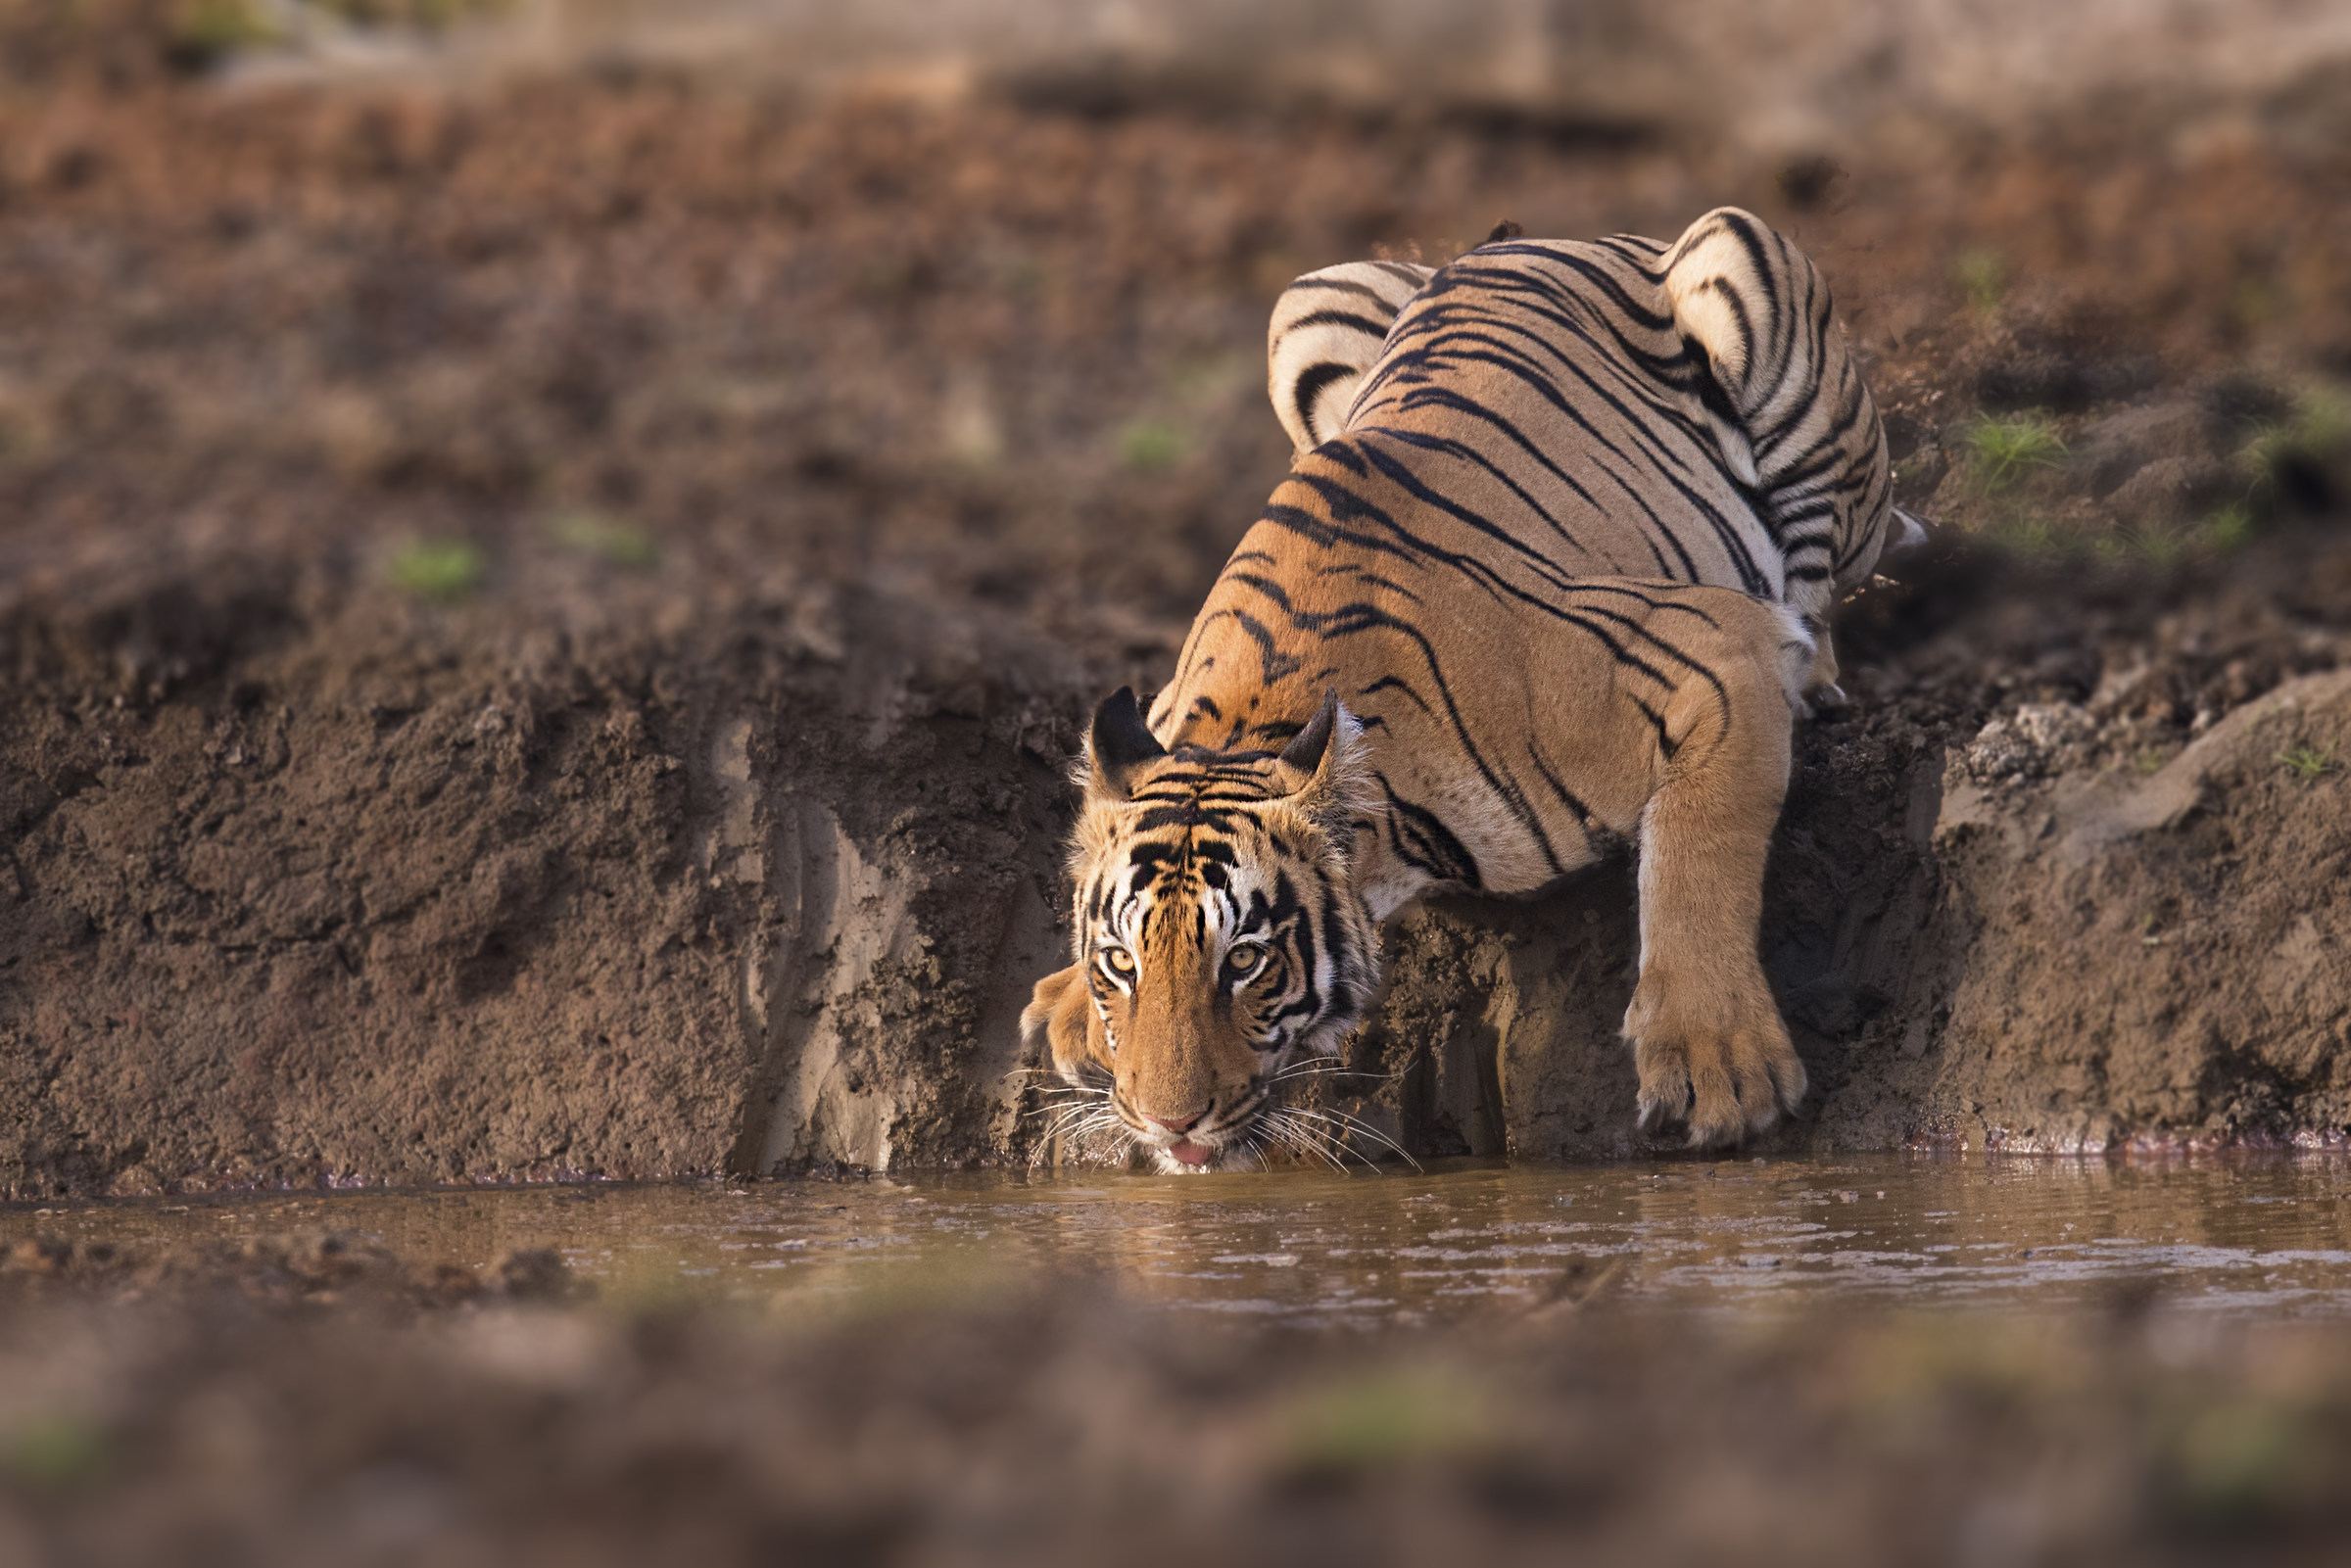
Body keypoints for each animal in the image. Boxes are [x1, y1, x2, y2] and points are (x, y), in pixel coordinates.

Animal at [1023, 208, 1915, 1173]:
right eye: (1122, 962)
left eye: (1246, 960)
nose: (1168, 1122)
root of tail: (1547, 234)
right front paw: (1067, 1004)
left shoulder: (1710, 647)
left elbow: (1699, 858)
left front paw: (1720, 1066)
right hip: (1304, 305)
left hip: (1740, 255)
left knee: (1819, 584)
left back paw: (1813, 672)